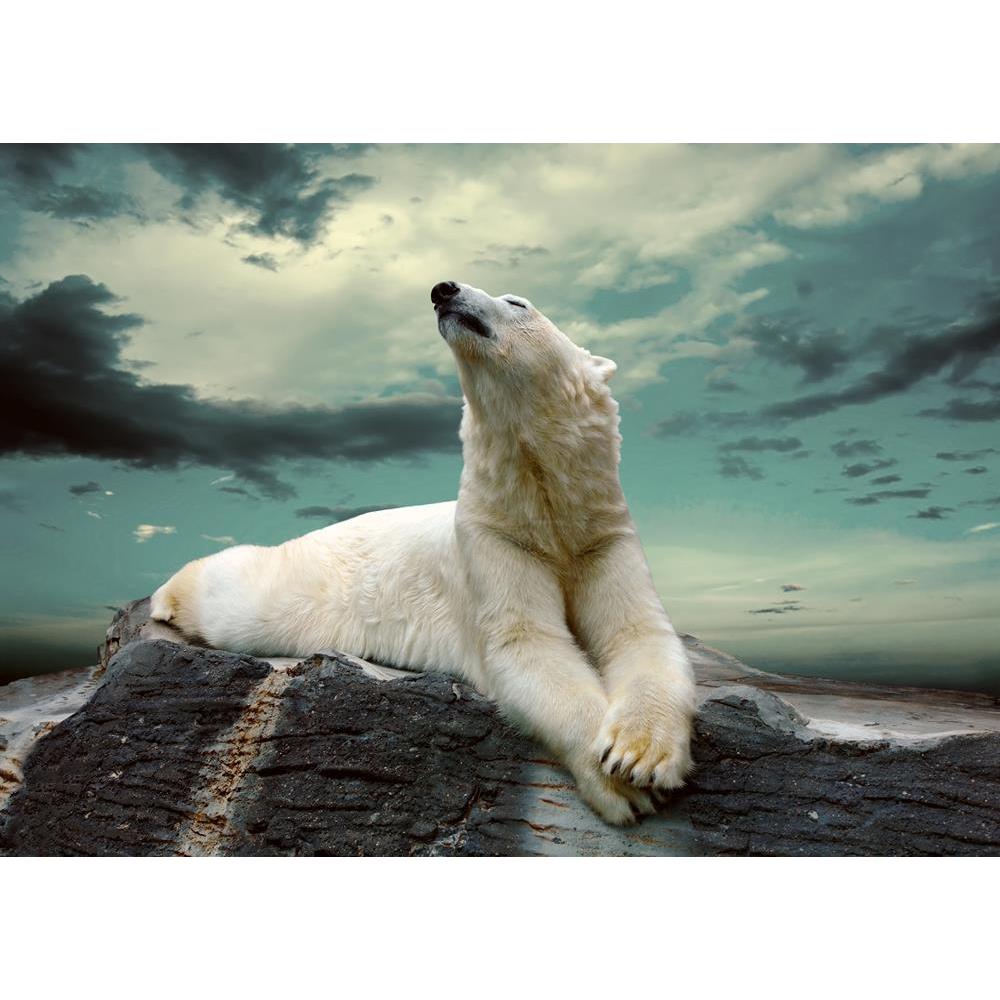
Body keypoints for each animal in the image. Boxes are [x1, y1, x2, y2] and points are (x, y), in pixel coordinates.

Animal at [151, 281, 696, 825]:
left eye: (518, 302)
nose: (443, 289)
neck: (544, 507)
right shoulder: (492, 539)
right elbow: (528, 643)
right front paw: (620, 784)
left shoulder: (601, 535)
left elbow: (638, 632)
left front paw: (639, 755)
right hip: (302, 584)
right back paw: (166, 598)